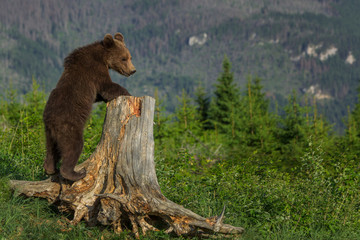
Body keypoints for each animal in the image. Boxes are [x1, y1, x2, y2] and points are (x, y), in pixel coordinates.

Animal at [43, 32, 136, 182]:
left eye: (130, 57)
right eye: (123, 58)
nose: (133, 70)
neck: (102, 57)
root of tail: (51, 120)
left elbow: (100, 94)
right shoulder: (94, 69)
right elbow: (107, 86)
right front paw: (128, 93)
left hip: (49, 132)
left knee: (51, 149)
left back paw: (50, 169)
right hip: (69, 125)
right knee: (73, 147)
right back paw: (75, 173)